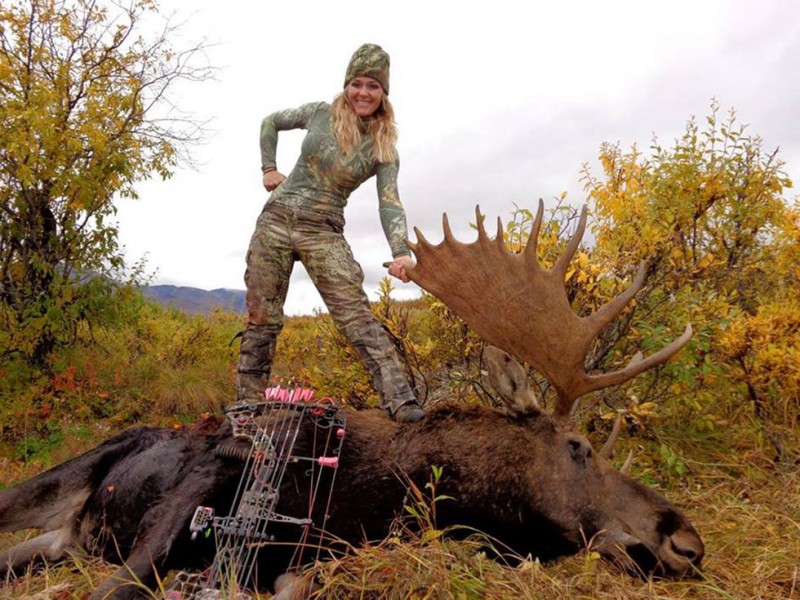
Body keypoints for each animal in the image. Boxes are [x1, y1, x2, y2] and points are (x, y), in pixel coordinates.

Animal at [0, 204, 700, 596]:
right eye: (579, 447)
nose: (686, 541)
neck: (395, 491)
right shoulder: (203, 485)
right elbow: (114, 590)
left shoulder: (303, 559)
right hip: (66, 478)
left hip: (58, 541)